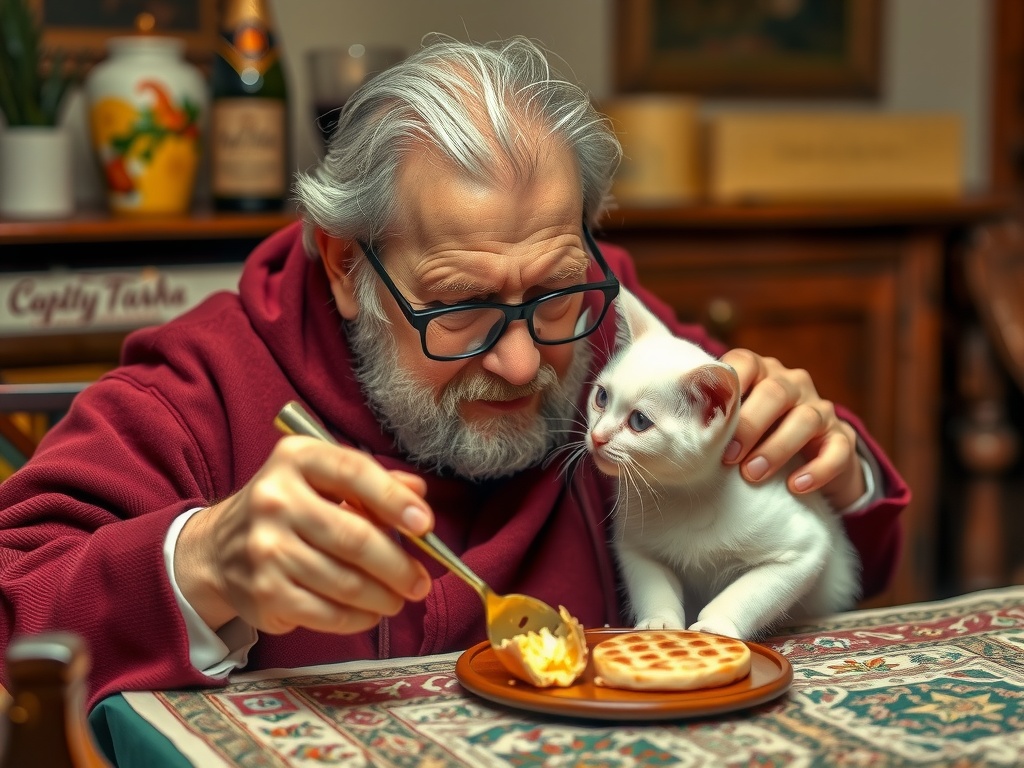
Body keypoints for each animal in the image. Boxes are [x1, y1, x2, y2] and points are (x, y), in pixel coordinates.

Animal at [589, 286, 860, 638]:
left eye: (639, 421)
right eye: (601, 397)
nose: (597, 437)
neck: (686, 495)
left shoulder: (803, 549)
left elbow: (751, 591)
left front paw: (716, 625)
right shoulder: (634, 544)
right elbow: (652, 582)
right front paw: (659, 621)